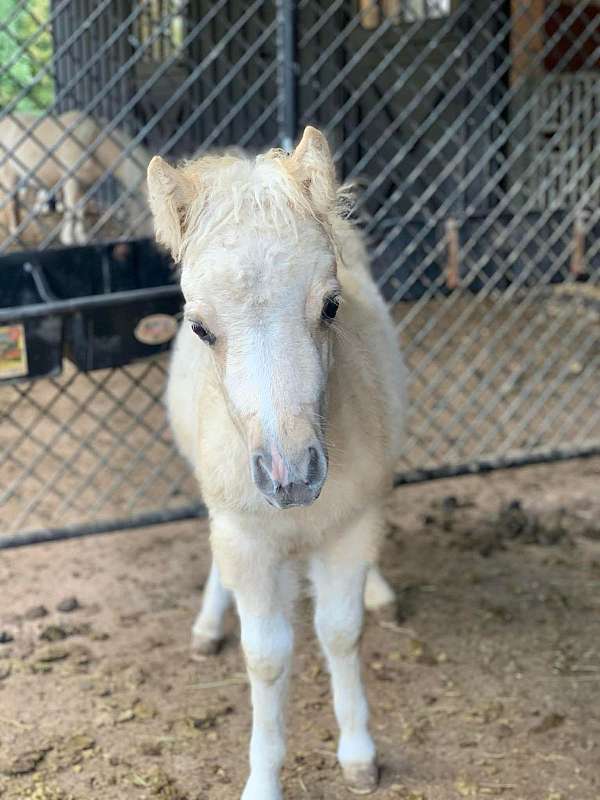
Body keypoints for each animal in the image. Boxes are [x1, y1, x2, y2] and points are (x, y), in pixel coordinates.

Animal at [0, 110, 151, 246]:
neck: (93, 142)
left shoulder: (84, 184)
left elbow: (80, 208)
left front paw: (81, 237)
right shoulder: (70, 180)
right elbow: (71, 207)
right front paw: (68, 239)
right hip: (8, 173)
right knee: (10, 200)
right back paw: (14, 232)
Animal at [147, 126, 406, 800]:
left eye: (332, 306)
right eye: (199, 327)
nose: (292, 479)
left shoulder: (350, 527)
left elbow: (340, 633)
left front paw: (358, 753)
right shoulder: (246, 537)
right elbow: (265, 657)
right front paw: (263, 779)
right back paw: (208, 625)